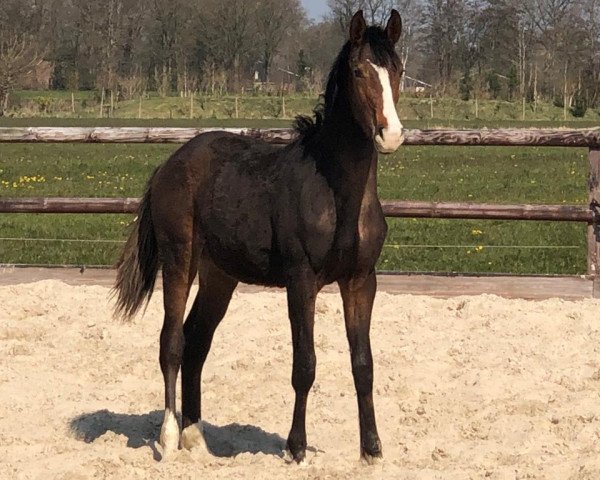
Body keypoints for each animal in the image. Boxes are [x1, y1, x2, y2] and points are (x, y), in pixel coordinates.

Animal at [113, 8, 404, 464]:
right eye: (359, 71)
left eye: (398, 70)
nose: (390, 134)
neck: (337, 192)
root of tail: (169, 165)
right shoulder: (301, 282)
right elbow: (305, 365)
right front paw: (295, 448)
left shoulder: (361, 281)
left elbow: (364, 364)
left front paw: (371, 450)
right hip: (180, 259)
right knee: (172, 342)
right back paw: (169, 437)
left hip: (220, 275)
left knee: (197, 342)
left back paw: (196, 437)